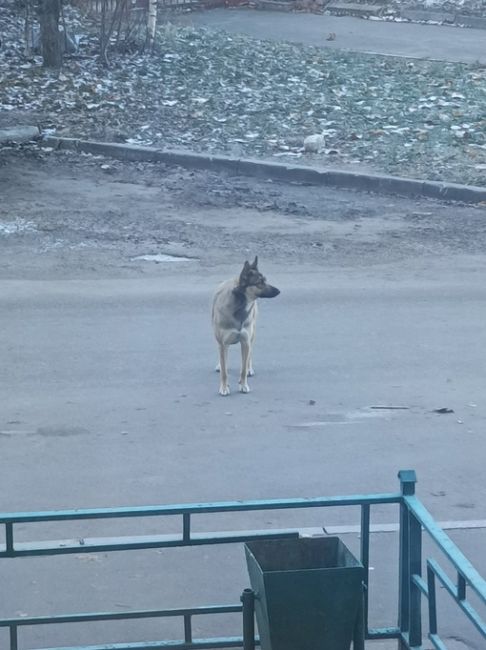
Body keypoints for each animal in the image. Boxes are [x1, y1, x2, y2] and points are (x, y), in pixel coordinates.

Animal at [211, 258, 280, 394]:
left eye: (265, 280)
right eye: (259, 283)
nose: (279, 291)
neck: (240, 306)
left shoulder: (245, 341)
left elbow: (243, 368)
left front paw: (243, 385)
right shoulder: (223, 343)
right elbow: (224, 371)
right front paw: (224, 387)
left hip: (252, 335)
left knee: (249, 355)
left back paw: (249, 369)